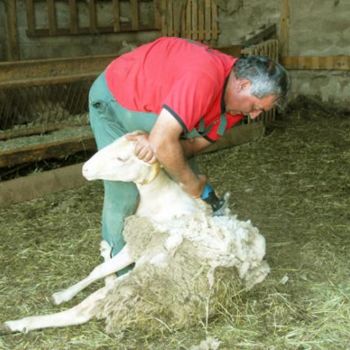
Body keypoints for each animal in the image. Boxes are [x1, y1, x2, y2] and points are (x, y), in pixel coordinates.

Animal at [0, 133, 270, 334]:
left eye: (122, 158)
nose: (85, 169)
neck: (159, 197)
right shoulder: (136, 245)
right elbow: (98, 270)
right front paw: (65, 292)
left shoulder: (139, 243)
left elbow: (99, 271)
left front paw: (60, 296)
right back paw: (103, 250)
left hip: (133, 281)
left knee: (82, 311)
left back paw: (18, 324)